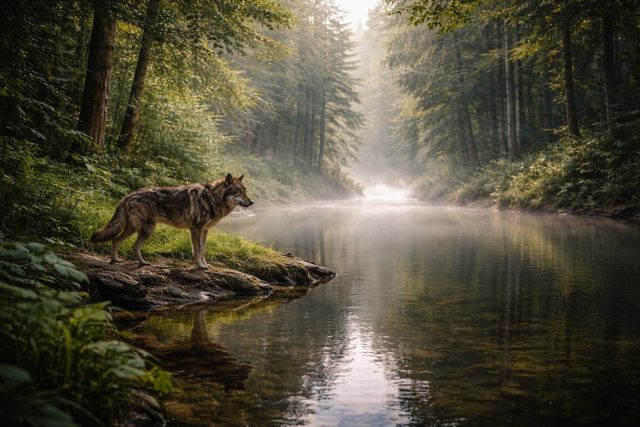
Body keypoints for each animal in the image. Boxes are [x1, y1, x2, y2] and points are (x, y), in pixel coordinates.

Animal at [90, 173, 253, 268]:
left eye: (245, 191)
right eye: (239, 191)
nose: (252, 202)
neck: (212, 198)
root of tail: (129, 195)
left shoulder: (204, 231)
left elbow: (202, 249)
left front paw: (205, 264)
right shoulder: (195, 229)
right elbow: (197, 250)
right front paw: (200, 266)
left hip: (133, 228)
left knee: (116, 240)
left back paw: (116, 260)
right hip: (147, 230)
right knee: (133, 246)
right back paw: (141, 263)